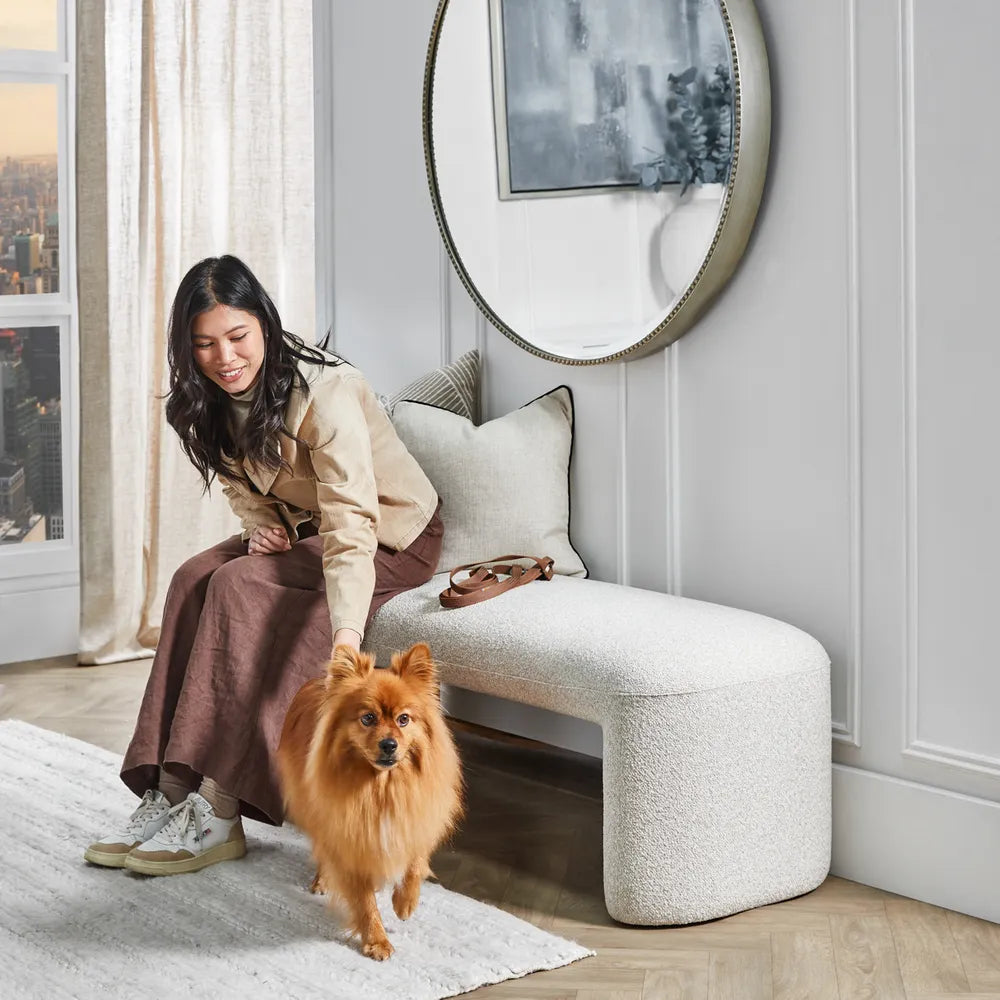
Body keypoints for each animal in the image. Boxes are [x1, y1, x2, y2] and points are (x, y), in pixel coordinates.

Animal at [278, 640, 464, 960]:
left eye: (404, 719)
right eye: (368, 718)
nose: (389, 744)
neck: (381, 788)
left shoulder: (417, 816)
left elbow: (416, 862)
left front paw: (405, 902)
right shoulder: (350, 837)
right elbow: (363, 900)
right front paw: (376, 940)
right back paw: (323, 879)